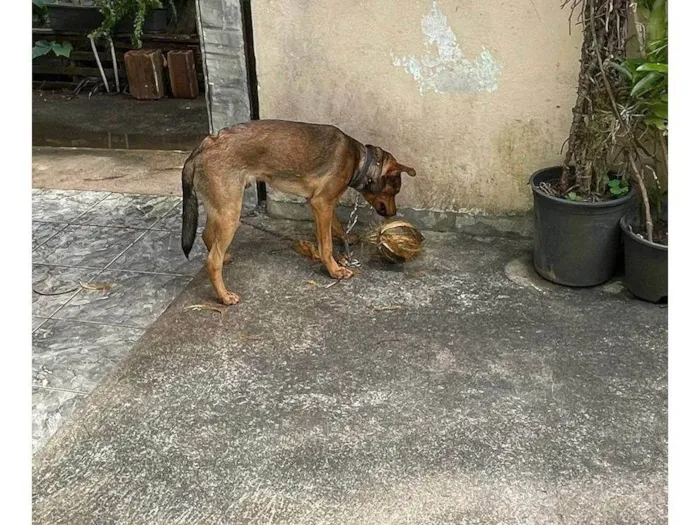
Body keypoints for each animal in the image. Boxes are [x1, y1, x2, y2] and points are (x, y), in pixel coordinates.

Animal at [180, 119, 418, 302]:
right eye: (395, 190)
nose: (393, 214)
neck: (360, 161)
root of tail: (203, 147)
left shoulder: (321, 203)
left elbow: (335, 226)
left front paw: (346, 239)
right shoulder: (322, 203)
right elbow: (326, 245)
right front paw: (334, 270)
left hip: (221, 207)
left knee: (207, 236)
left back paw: (225, 258)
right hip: (230, 212)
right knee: (212, 260)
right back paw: (224, 296)